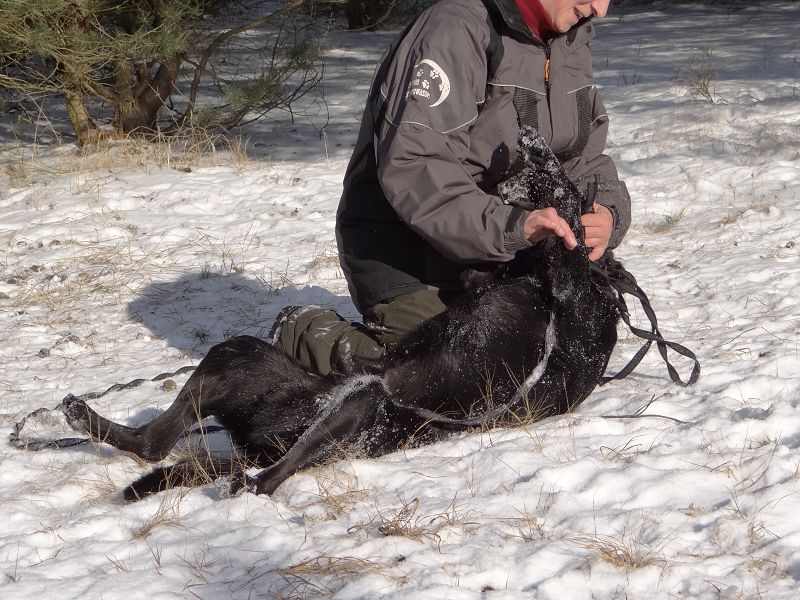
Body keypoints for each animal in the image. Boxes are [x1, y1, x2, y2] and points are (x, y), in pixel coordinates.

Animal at [60, 127, 622, 500]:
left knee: (253, 478)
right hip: (243, 360)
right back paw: (88, 417)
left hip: (351, 403)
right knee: (157, 440)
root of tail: (263, 442)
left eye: (550, 157)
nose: (525, 132)